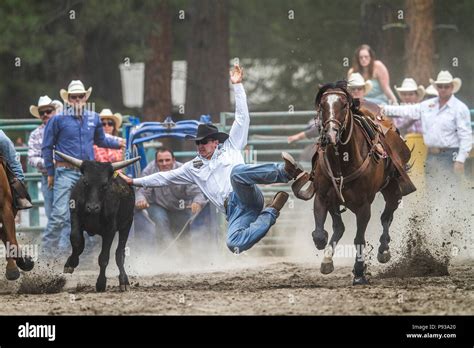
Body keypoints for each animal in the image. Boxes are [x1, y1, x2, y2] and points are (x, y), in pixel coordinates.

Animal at [302, 82, 412, 286]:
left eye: (344, 105)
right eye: (322, 105)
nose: (330, 135)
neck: (342, 161)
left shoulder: (363, 206)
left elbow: (359, 239)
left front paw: (360, 273)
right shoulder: (322, 197)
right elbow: (319, 234)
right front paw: (326, 254)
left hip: (393, 190)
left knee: (386, 217)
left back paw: (384, 250)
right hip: (335, 201)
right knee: (340, 227)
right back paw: (328, 260)